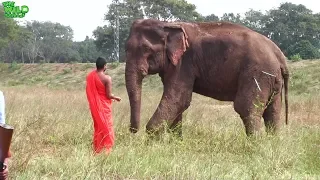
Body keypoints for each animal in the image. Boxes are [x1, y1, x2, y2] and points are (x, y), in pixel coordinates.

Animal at [125, 18, 290, 137]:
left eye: (146, 49)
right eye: (126, 49)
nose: (133, 132)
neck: (167, 25)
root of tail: (280, 55)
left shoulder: (184, 63)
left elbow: (179, 99)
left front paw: (152, 142)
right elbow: (177, 102)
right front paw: (176, 142)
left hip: (258, 73)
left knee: (246, 107)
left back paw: (255, 145)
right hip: (272, 79)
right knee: (272, 111)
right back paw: (272, 143)